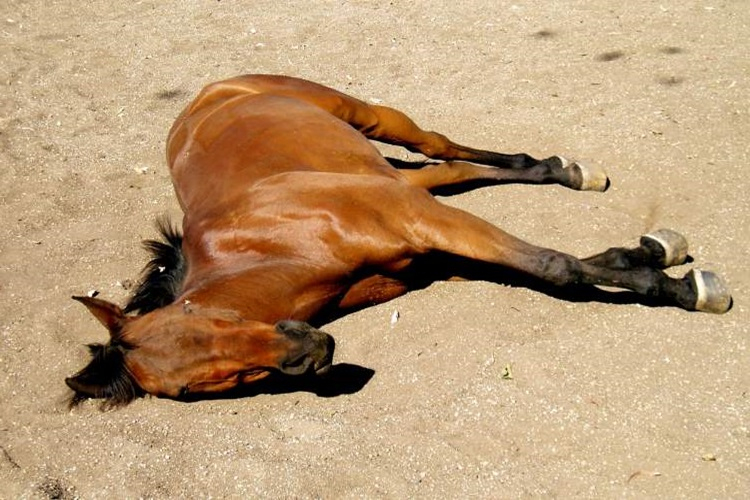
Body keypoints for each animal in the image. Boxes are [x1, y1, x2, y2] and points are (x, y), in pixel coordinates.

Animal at [66, 76, 736, 408]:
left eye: (201, 320)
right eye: (188, 389)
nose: (307, 352)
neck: (280, 240)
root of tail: (211, 91)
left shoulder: (425, 224)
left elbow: (556, 266)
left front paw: (684, 287)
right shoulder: (432, 256)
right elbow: (560, 268)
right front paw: (656, 258)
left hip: (375, 120)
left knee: (439, 146)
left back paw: (570, 171)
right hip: (398, 178)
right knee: (450, 170)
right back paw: (561, 170)